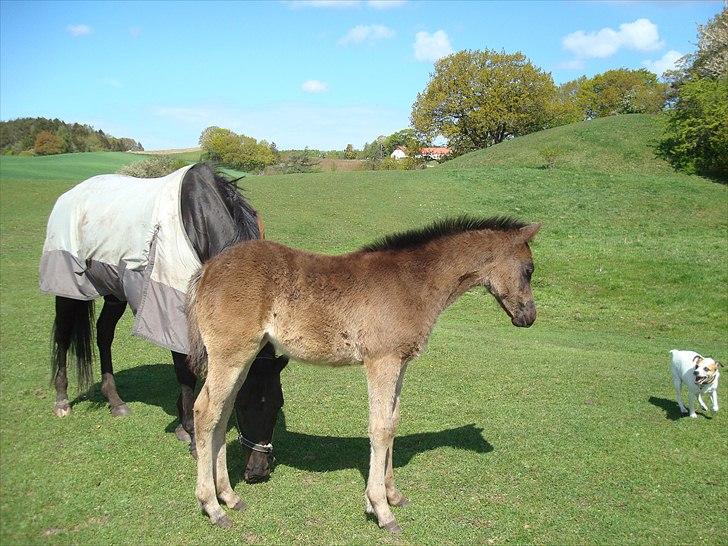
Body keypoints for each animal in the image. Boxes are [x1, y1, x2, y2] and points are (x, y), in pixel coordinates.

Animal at [188, 215, 540, 528]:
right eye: (529, 270)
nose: (529, 317)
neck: (412, 282)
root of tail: (207, 270)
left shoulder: (400, 362)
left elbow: (393, 421)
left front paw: (393, 495)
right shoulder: (381, 361)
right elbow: (380, 427)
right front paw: (381, 509)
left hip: (241, 359)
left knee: (222, 414)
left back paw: (229, 497)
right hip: (230, 356)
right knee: (205, 412)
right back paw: (212, 507)